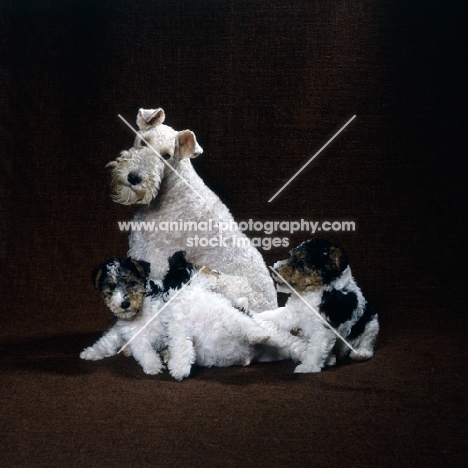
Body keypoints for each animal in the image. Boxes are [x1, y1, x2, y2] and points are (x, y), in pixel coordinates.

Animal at [252, 238, 380, 372]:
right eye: (291, 256)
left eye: (302, 261)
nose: (275, 270)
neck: (311, 293)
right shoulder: (294, 311)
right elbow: (278, 315)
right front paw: (258, 316)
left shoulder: (323, 328)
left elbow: (316, 350)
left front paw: (308, 367)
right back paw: (330, 358)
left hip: (370, 324)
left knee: (367, 341)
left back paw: (361, 353)